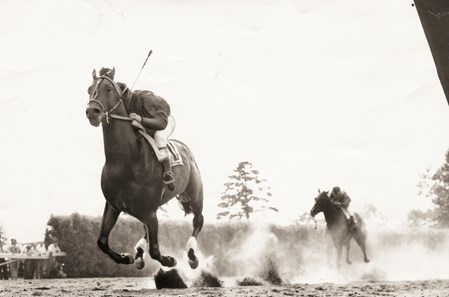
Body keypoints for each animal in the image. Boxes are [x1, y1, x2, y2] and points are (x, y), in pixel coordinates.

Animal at [85, 67, 203, 268]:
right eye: (89, 90)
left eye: (108, 89)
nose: (92, 111)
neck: (125, 162)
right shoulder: (114, 205)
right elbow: (101, 241)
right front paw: (126, 257)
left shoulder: (149, 211)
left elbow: (155, 250)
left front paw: (169, 260)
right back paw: (140, 252)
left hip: (195, 195)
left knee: (198, 220)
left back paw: (192, 255)